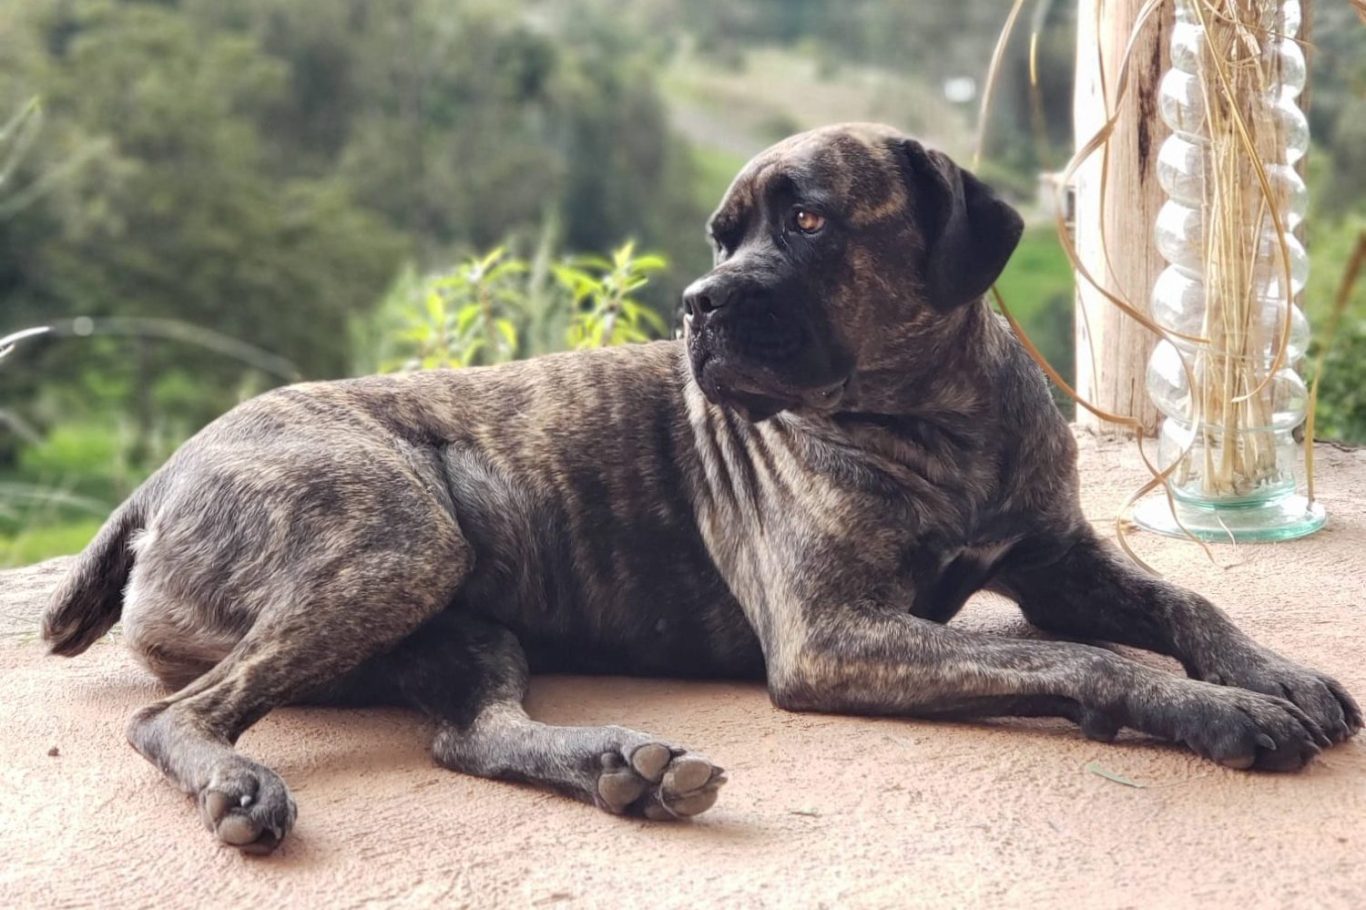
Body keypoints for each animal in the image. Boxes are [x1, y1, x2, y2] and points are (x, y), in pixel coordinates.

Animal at [42, 123, 1360, 854]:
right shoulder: (837, 636)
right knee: (177, 714)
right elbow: (1083, 661)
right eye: (725, 236)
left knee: (472, 735)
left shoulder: (1055, 560)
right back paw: (238, 784)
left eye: (811, 220)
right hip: (399, 539)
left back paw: (619, 766)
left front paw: (1273, 673)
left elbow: (1185, 604)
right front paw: (1220, 713)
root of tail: (159, 479)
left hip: (448, 618)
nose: (698, 304)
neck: (934, 421)